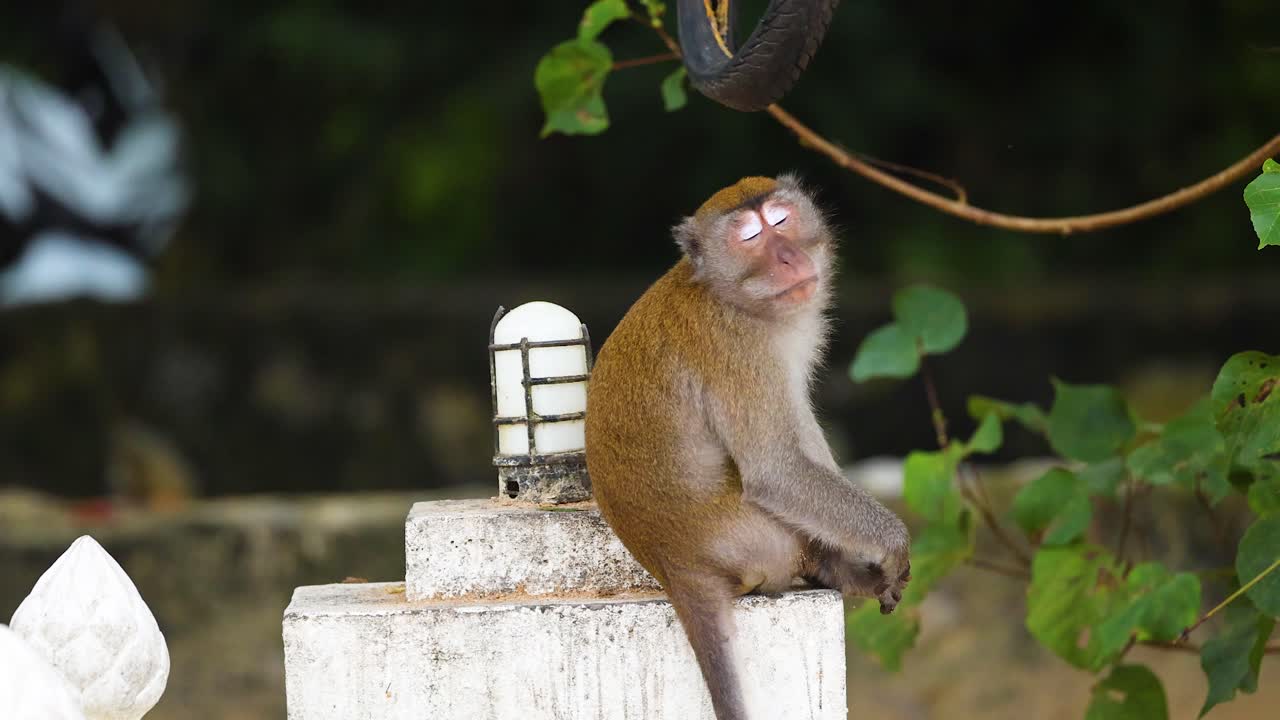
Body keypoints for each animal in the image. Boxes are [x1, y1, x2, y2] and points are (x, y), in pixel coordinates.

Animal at [585, 175, 911, 720]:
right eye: (750, 236)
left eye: (781, 220)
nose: (788, 257)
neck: (731, 296)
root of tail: (675, 567)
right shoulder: (740, 347)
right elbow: (776, 472)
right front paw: (893, 541)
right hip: (749, 536)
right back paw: (831, 566)